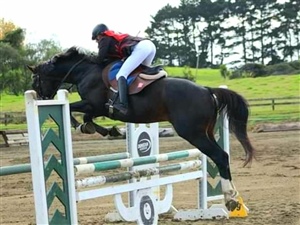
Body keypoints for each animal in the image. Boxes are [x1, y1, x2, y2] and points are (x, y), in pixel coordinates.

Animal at [27, 45, 255, 211]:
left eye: (35, 80)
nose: (43, 98)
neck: (85, 72)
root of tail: (207, 90)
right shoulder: (97, 108)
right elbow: (85, 116)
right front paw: (106, 130)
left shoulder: (95, 105)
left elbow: (77, 110)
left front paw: (85, 127)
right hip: (206, 132)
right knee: (221, 156)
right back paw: (233, 199)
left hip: (193, 133)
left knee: (220, 156)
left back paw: (230, 199)